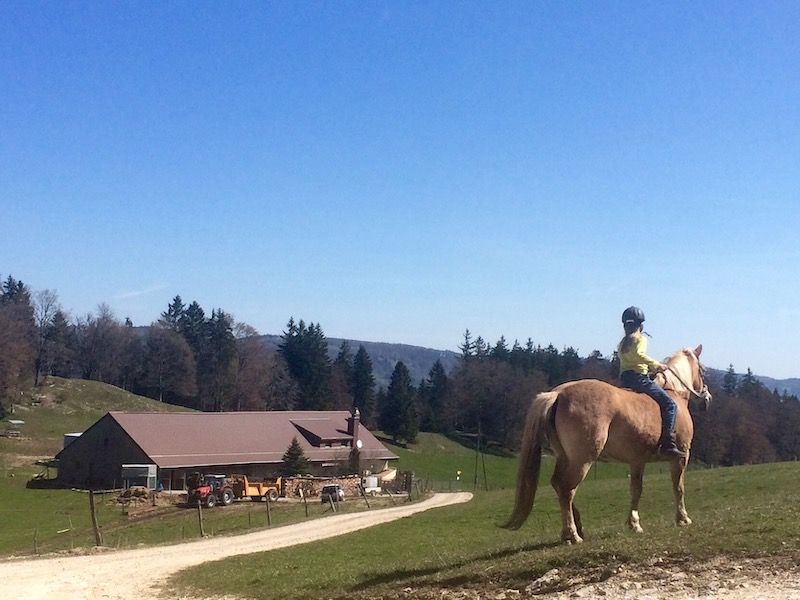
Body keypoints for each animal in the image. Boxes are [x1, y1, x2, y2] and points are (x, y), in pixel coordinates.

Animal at [506, 344, 712, 548]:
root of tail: (558, 394)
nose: (707, 397)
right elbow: (678, 487)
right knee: (567, 489)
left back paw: (576, 527)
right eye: (702, 370)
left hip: (565, 457)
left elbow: (636, 490)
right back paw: (572, 534)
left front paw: (634, 524)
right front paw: (683, 518)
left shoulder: (637, 461)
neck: (674, 393)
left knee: (558, 484)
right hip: (582, 461)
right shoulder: (682, 455)